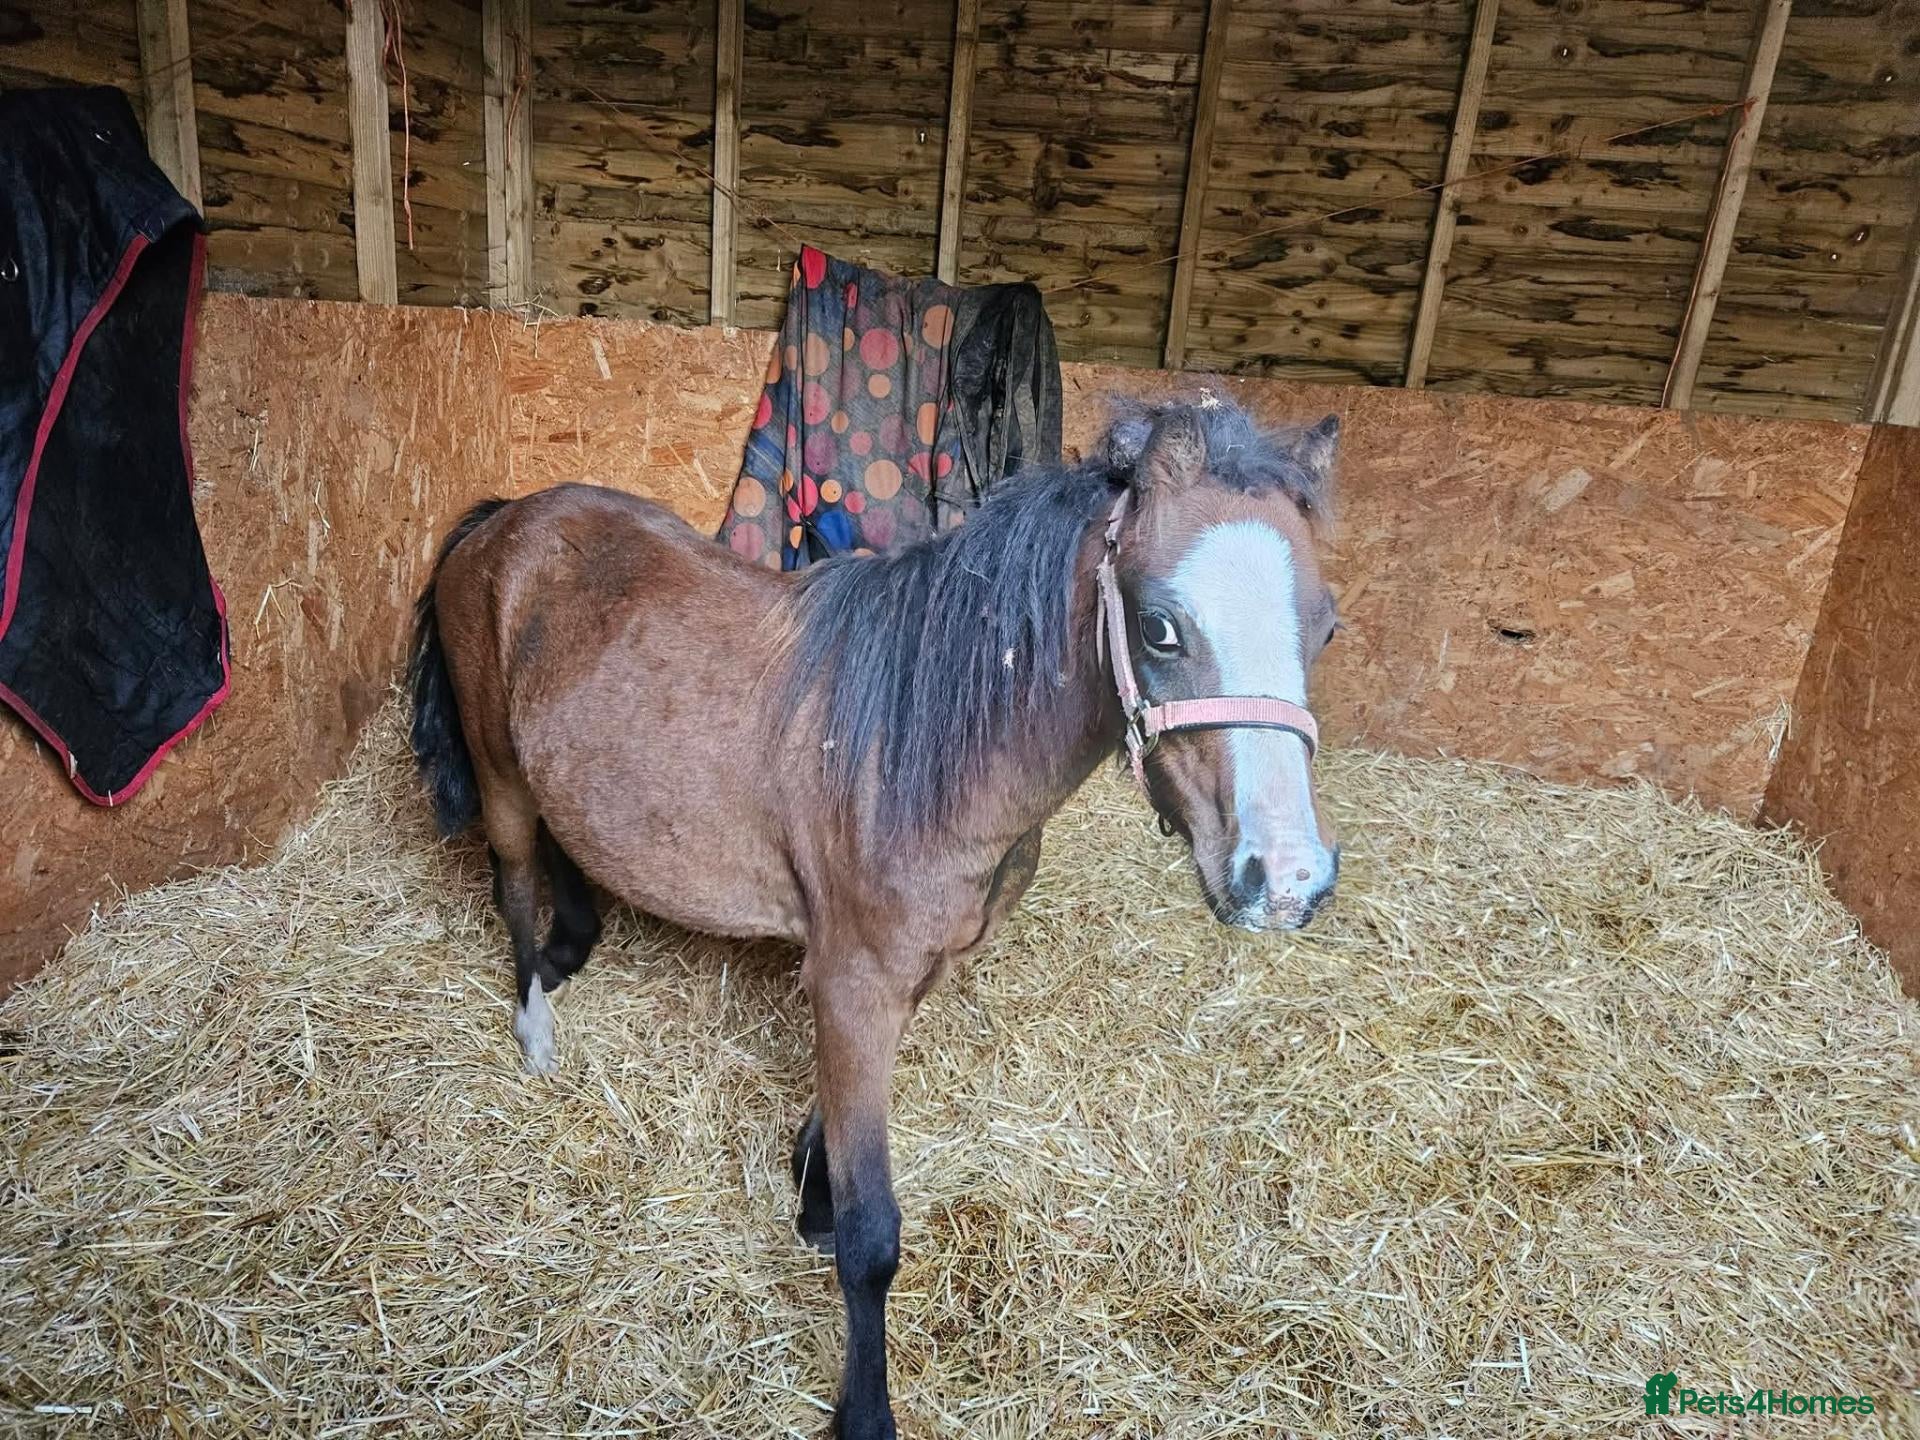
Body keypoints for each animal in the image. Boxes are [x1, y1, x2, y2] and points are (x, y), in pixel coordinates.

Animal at [406, 396, 1342, 1439]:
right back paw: (536, 1023)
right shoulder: (856, 984)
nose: (1287, 880)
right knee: (513, 874)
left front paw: (811, 1194)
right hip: (498, 775)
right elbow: (873, 1239)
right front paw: (863, 1408)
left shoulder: (900, 978)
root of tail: (504, 519)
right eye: (1160, 628)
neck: (918, 751)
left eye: (1325, 630)